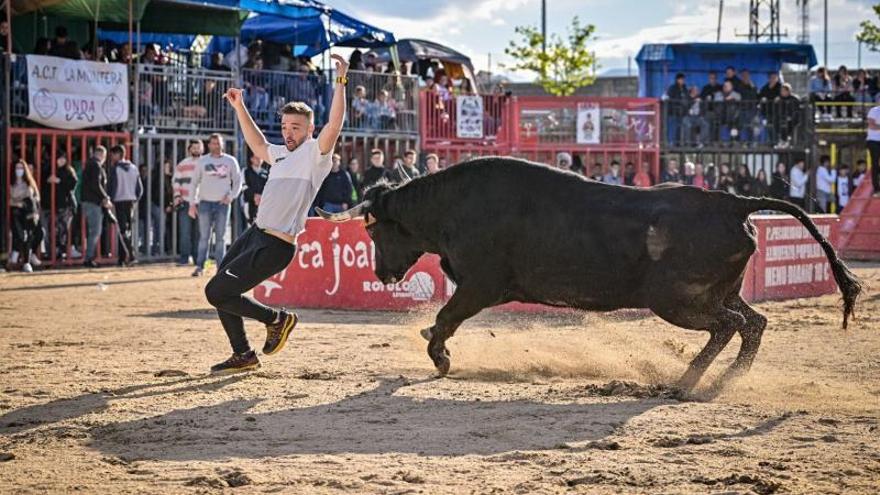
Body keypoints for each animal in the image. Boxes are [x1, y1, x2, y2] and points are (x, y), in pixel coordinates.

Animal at [318, 158, 860, 392]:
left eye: (374, 230)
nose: (382, 272)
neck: (456, 205)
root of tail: (732, 203)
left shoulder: (482, 285)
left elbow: (447, 319)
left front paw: (441, 356)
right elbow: (444, 319)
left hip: (676, 300)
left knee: (732, 326)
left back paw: (686, 381)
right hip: (712, 293)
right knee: (753, 323)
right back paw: (722, 379)